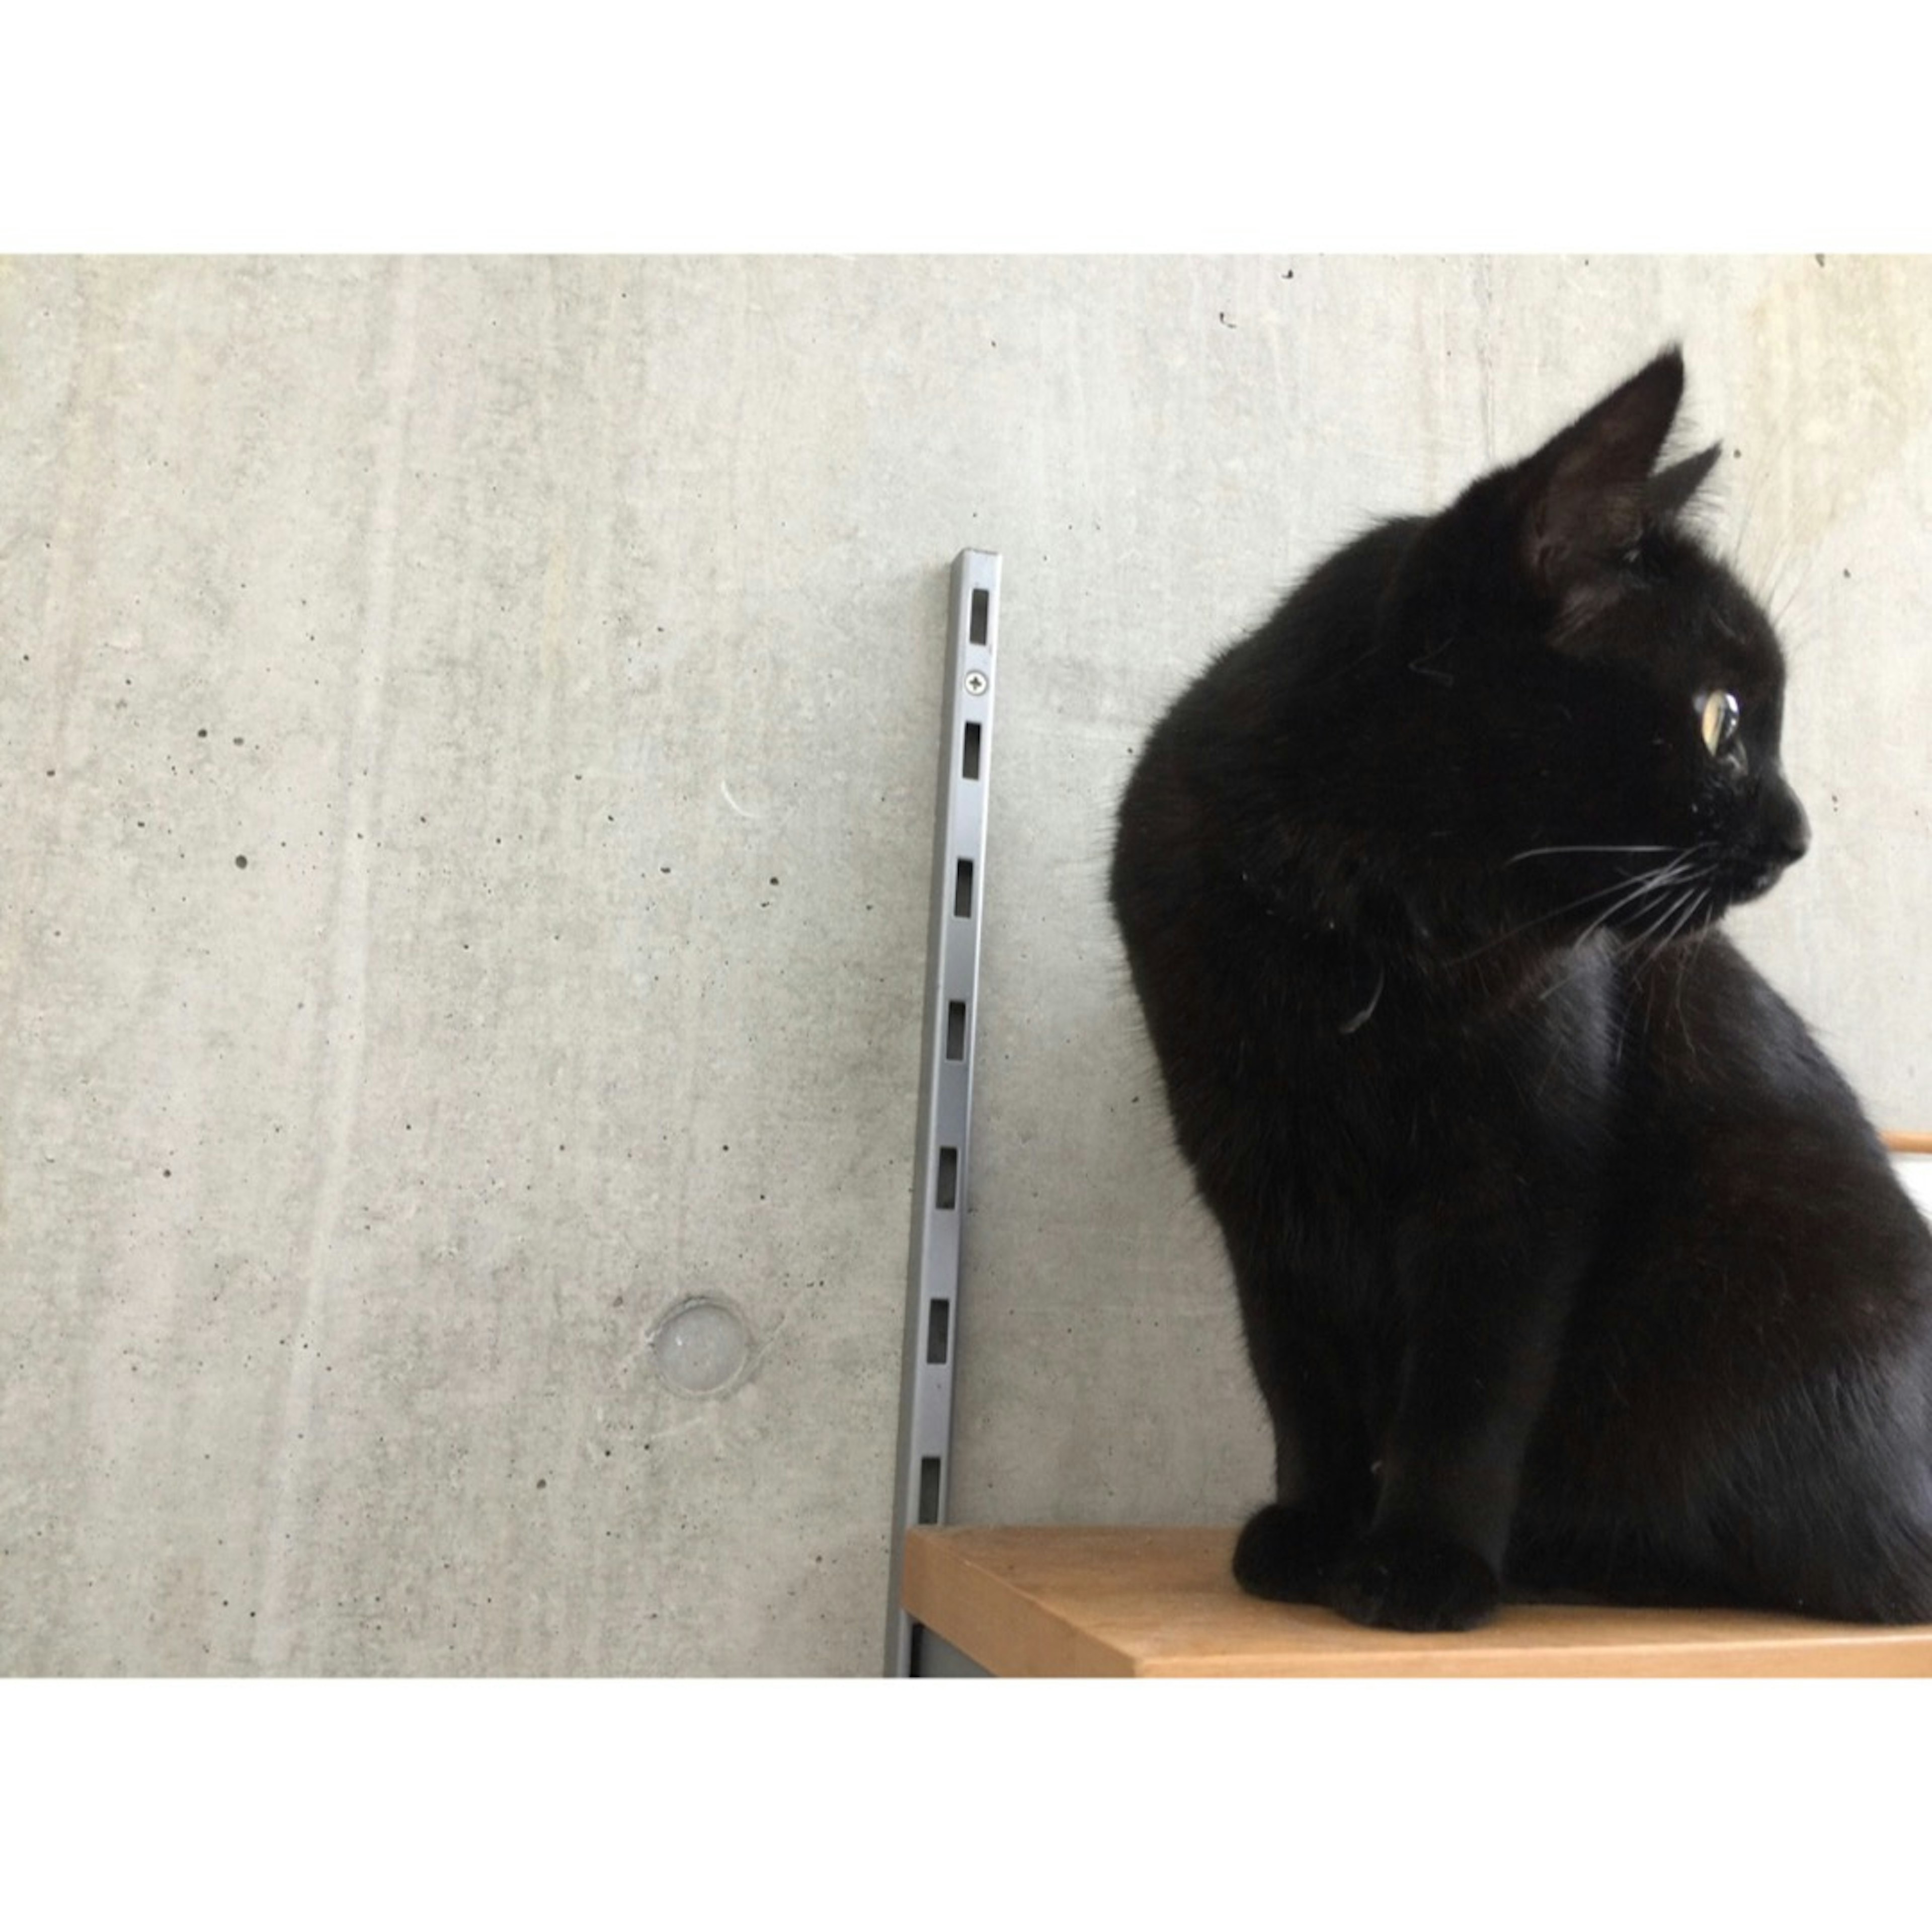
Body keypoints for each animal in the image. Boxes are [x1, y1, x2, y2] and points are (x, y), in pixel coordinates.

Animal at [1112, 351, 1932, 1630]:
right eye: (1721, 719)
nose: (1799, 836)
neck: (1367, 936)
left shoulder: (1520, 1183)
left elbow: (1469, 1389)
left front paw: (1419, 1563)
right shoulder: (1255, 1174)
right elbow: (1298, 1375)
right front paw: (1313, 1530)